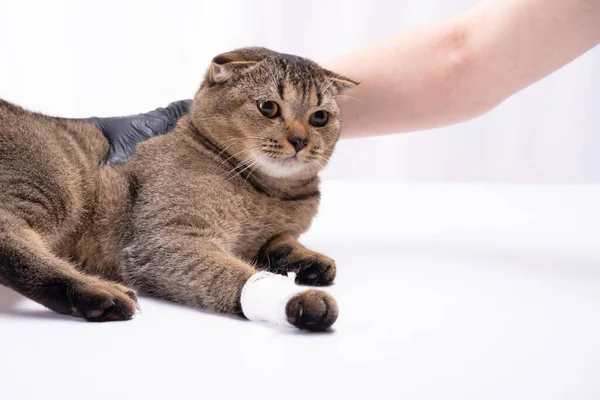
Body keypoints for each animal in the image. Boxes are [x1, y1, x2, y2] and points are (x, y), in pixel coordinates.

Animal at [0, 47, 356, 332]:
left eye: (320, 118)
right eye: (268, 108)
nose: (299, 140)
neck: (268, 194)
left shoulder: (266, 234)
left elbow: (281, 242)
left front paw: (309, 261)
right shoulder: (165, 242)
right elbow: (233, 272)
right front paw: (295, 297)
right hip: (53, 183)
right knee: (9, 239)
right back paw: (98, 294)